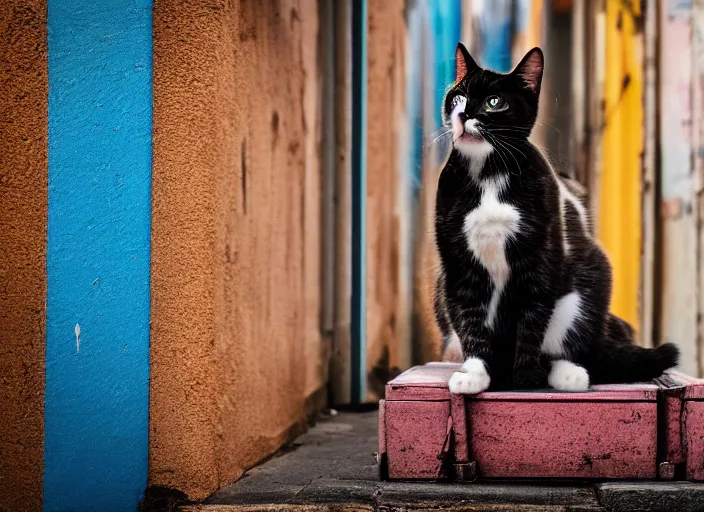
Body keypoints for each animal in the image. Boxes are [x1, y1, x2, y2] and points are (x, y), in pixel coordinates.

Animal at [438, 44, 680, 394]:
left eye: (494, 102)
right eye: (457, 98)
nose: (462, 114)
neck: (489, 171)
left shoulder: (541, 252)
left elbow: (532, 315)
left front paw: (526, 378)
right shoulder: (458, 263)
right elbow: (471, 318)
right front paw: (474, 373)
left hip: (588, 285)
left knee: (569, 341)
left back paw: (566, 373)